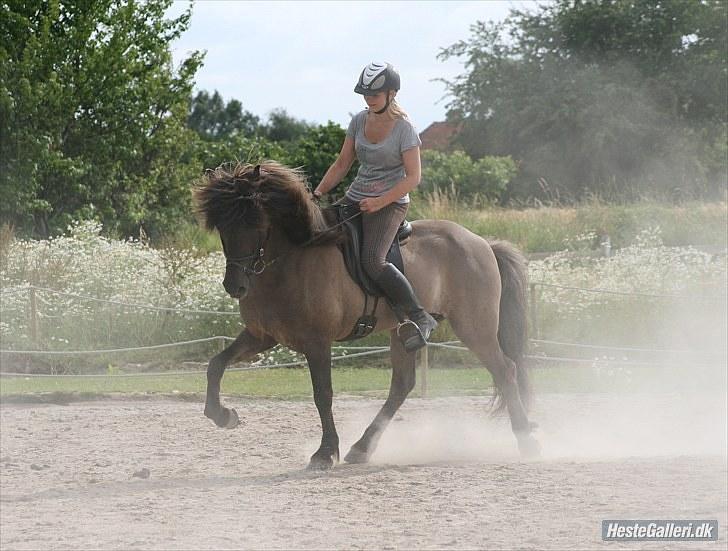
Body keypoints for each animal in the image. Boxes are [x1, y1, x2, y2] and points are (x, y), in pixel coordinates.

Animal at [193, 160, 540, 470]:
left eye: (254, 221)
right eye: (221, 226)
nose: (235, 286)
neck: (290, 260)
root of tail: (482, 243)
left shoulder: (317, 342)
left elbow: (323, 394)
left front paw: (325, 453)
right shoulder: (262, 336)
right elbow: (215, 365)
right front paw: (223, 416)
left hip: (474, 328)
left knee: (505, 370)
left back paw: (526, 440)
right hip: (404, 333)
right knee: (402, 385)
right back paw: (362, 448)